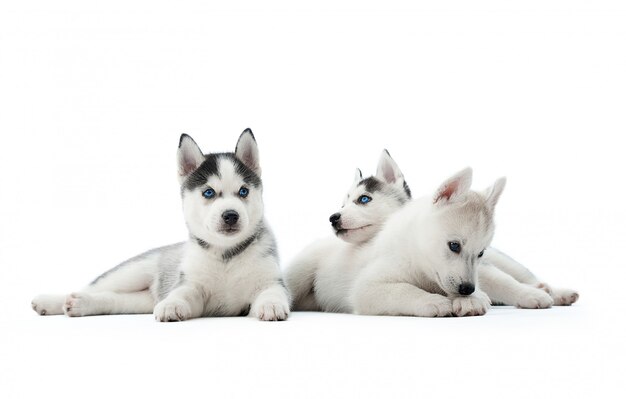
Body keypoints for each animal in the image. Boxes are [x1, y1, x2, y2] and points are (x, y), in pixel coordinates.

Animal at [31, 130, 290, 324]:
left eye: (244, 191)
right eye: (208, 193)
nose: (230, 215)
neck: (226, 255)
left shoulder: (271, 280)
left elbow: (273, 291)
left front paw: (271, 304)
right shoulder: (190, 285)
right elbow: (180, 293)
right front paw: (172, 305)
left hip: (141, 300)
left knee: (114, 299)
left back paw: (80, 305)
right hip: (130, 272)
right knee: (92, 287)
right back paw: (51, 301)